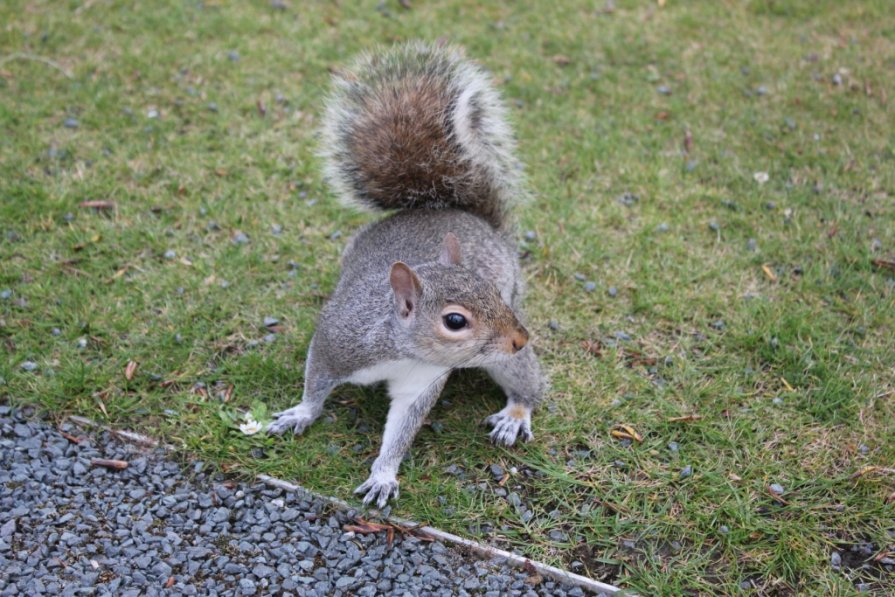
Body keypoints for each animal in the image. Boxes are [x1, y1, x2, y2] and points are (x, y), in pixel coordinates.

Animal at [266, 43, 544, 508]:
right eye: (455, 321)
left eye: (492, 291)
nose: (520, 337)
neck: (400, 349)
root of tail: (469, 217)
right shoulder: (335, 340)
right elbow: (315, 383)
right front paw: (300, 414)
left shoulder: (421, 383)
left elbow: (401, 429)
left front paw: (383, 474)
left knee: (527, 383)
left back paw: (516, 413)